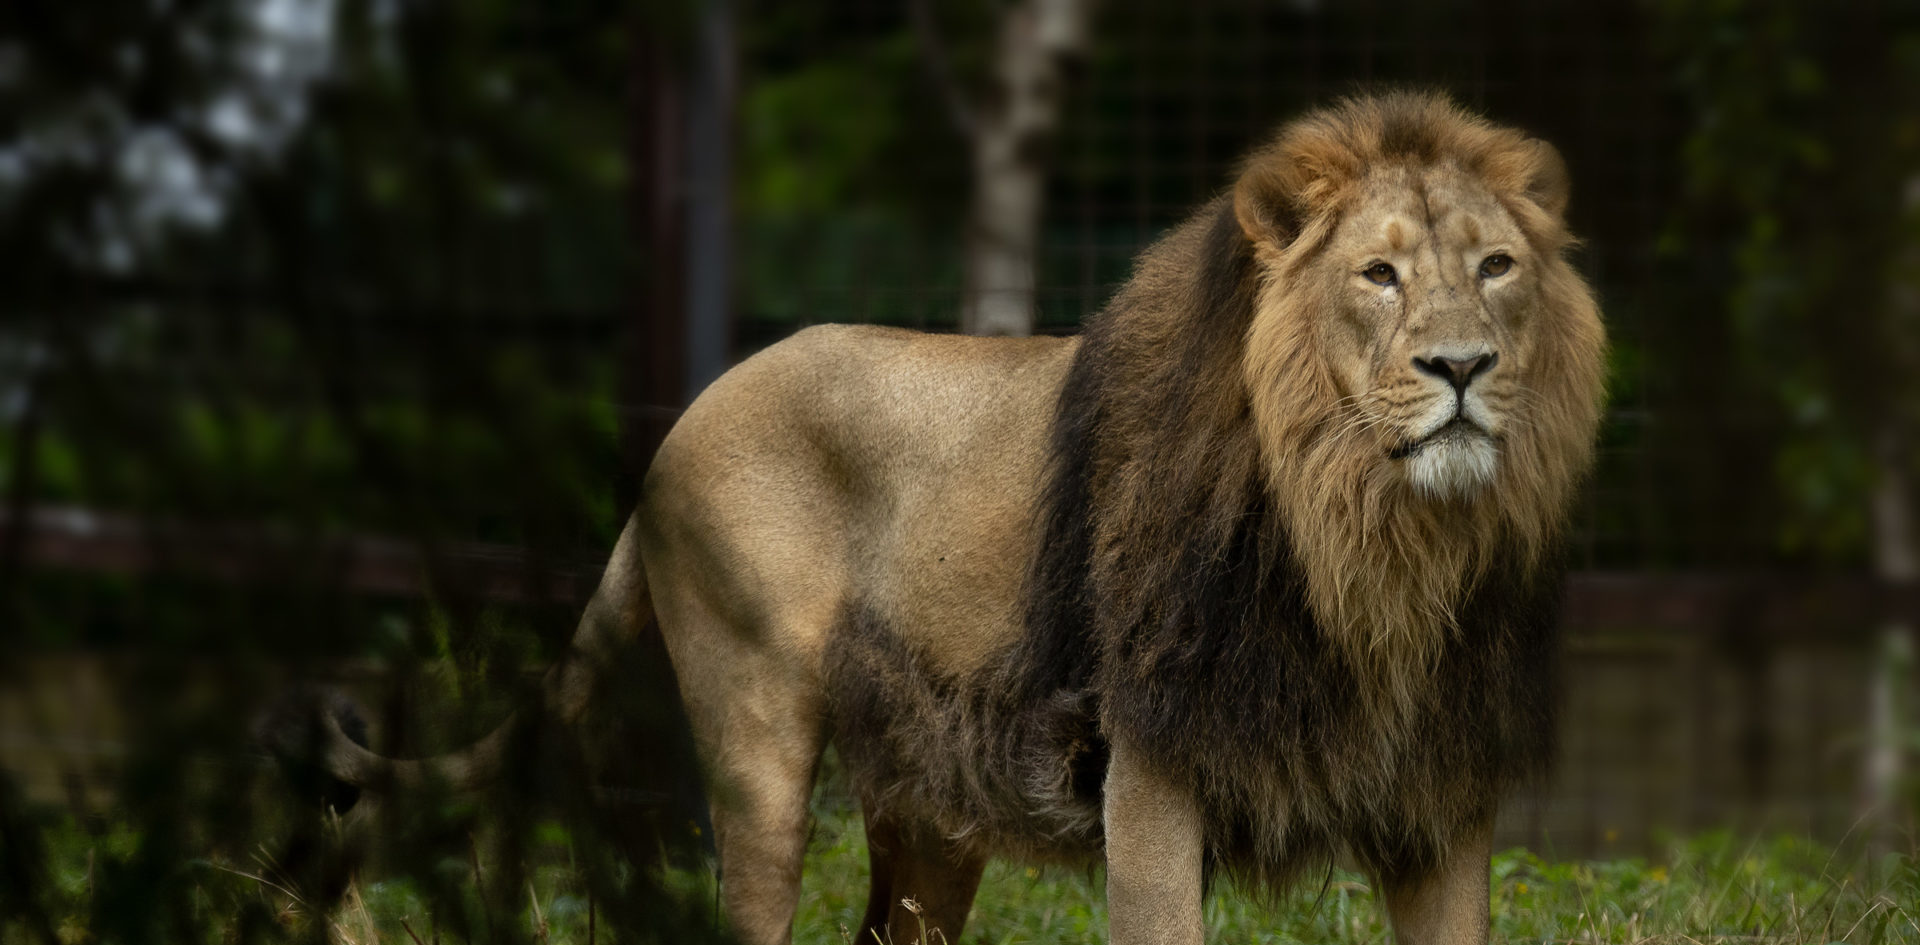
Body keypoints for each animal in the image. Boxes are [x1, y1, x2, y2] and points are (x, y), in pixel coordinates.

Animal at [311, 94, 1605, 945]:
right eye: (1378, 276)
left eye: (1496, 266)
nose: (1462, 366)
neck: (1375, 540)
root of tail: (678, 429)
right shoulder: (1152, 762)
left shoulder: (1444, 790)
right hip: (757, 735)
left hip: (933, 794)